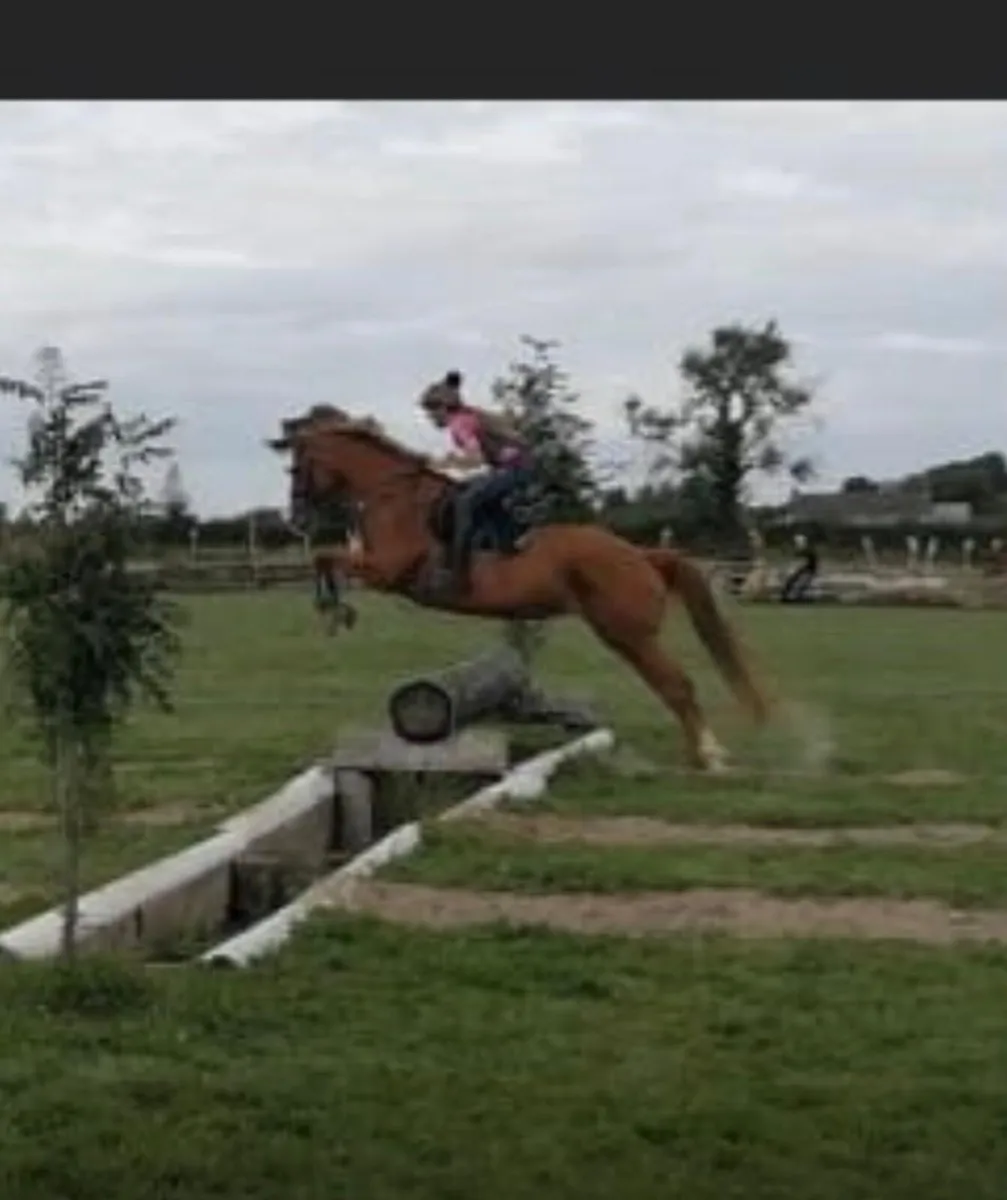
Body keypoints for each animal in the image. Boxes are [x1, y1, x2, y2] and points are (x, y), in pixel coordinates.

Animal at [268, 405, 770, 771]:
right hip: (627, 634)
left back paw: (710, 755)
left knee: (677, 685)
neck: (392, 496)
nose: (295, 521)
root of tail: (643, 555)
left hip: (627, 633)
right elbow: (325, 559)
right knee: (674, 686)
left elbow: (326, 558)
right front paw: (336, 611)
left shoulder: (387, 571)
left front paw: (334, 610)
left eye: (298, 468)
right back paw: (703, 752)